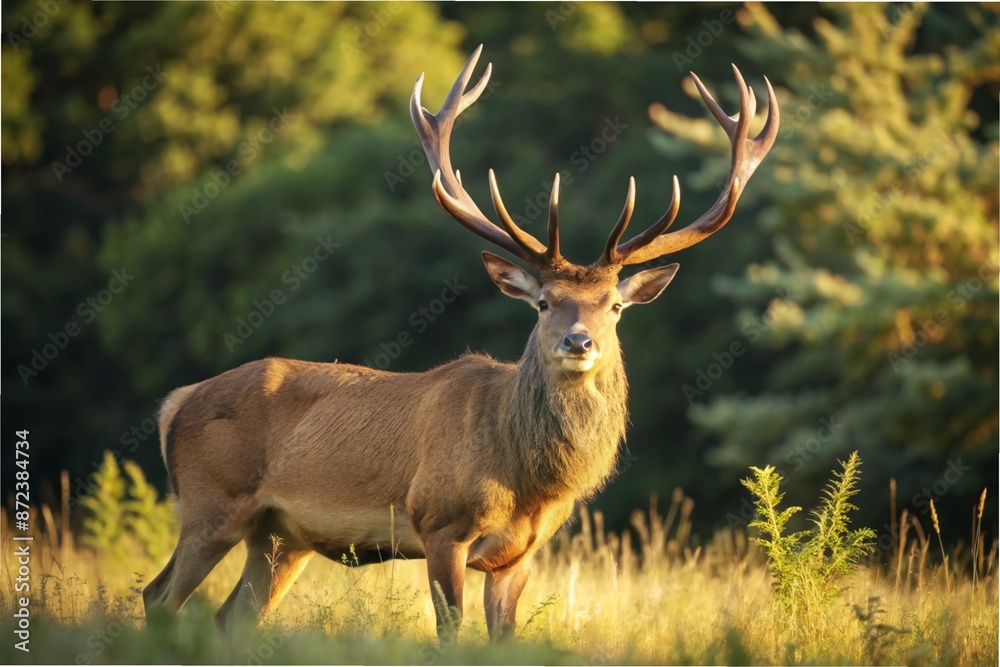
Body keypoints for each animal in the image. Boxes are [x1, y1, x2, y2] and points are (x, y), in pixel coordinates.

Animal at [141, 46, 777, 641]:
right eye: (544, 303)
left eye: (614, 307)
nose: (579, 342)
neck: (526, 481)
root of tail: (177, 401)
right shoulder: (440, 524)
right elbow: (450, 632)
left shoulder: (521, 554)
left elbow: (505, 637)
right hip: (209, 503)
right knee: (158, 596)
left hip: (281, 536)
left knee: (231, 616)